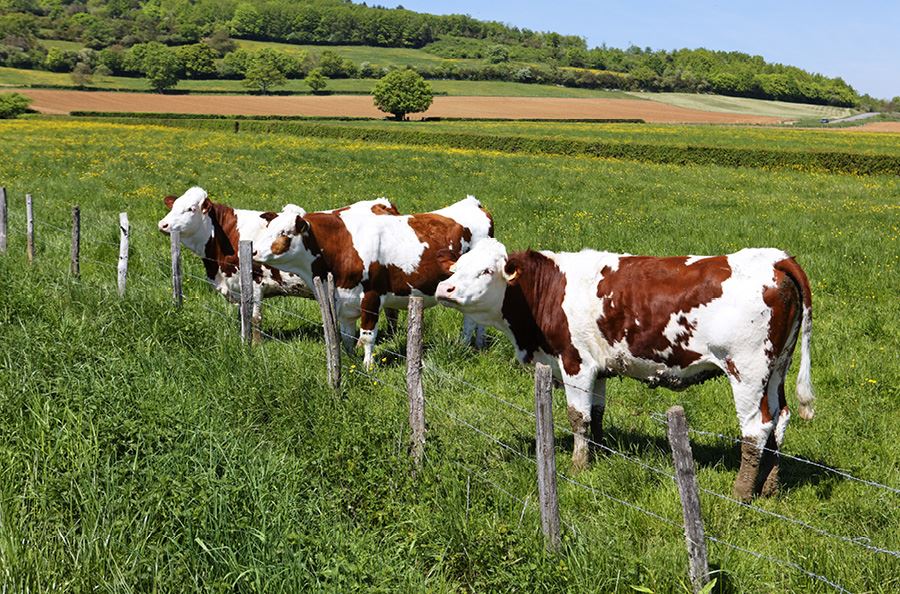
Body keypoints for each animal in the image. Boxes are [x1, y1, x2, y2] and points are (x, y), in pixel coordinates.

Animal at [157, 185, 316, 338]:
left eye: (191, 208)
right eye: (173, 206)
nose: (162, 224)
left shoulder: (256, 281)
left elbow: (255, 318)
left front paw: (254, 344)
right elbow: (242, 316)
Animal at [251, 194, 492, 366]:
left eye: (284, 232)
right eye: (269, 228)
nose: (253, 251)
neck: (341, 246)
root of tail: (473, 203)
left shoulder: (372, 297)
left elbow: (367, 336)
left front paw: (368, 367)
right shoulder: (343, 300)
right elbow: (347, 336)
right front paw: (350, 361)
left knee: (470, 322)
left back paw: (463, 345)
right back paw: (478, 345)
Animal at [434, 236, 816, 500]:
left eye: (485, 271)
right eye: (456, 267)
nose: (444, 288)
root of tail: (775, 258)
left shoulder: (575, 363)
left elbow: (578, 417)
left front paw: (578, 465)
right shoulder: (599, 368)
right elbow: (597, 413)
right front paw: (600, 454)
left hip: (746, 370)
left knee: (756, 429)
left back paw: (741, 492)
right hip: (776, 368)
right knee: (779, 419)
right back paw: (769, 487)